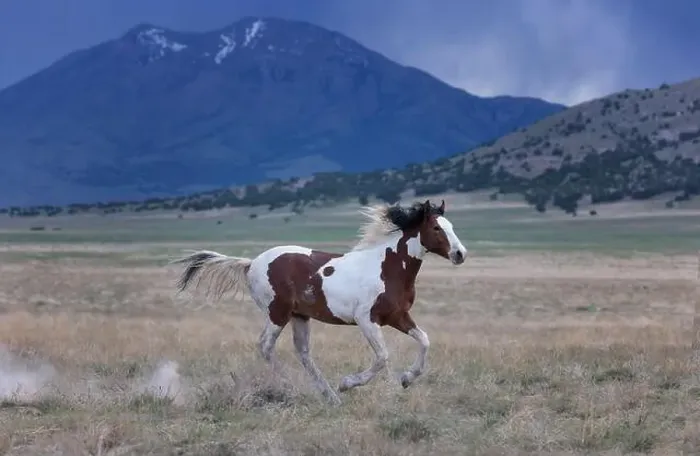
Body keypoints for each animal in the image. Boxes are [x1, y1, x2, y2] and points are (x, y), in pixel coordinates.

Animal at [169, 199, 468, 405]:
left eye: (452, 227)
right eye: (436, 227)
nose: (460, 254)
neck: (387, 267)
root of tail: (251, 263)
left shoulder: (398, 317)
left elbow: (425, 340)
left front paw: (407, 379)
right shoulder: (366, 319)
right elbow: (382, 356)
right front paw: (347, 383)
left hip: (300, 317)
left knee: (303, 353)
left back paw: (329, 396)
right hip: (277, 313)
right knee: (265, 346)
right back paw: (294, 386)